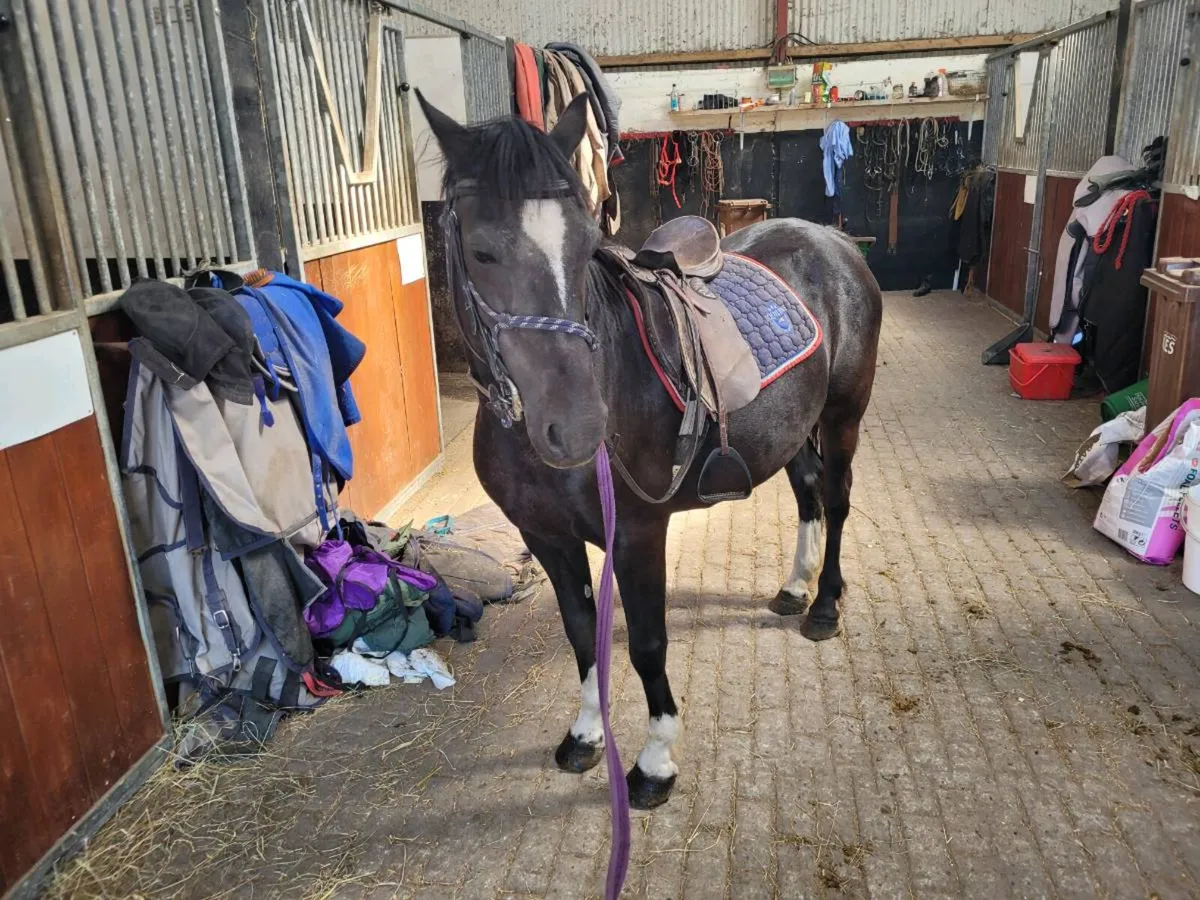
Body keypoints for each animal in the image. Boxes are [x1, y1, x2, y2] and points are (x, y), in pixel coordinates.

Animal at [416, 90, 882, 810]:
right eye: (482, 250)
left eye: (586, 244)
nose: (579, 428)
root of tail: (832, 241)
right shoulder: (545, 536)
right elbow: (583, 631)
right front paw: (586, 735)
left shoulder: (638, 532)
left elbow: (647, 643)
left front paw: (656, 761)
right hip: (789, 425)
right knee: (807, 491)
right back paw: (793, 587)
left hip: (840, 417)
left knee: (835, 500)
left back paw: (825, 604)